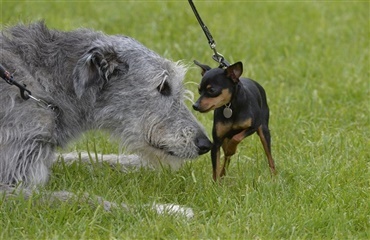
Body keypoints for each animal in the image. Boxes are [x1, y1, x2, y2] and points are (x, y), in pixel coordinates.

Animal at [0, 21, 211, 216]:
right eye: (163, 87)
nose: (205, 144)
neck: (43, 89)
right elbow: (80, 199)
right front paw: (165, 210)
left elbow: (86, 157)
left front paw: (142, 164)